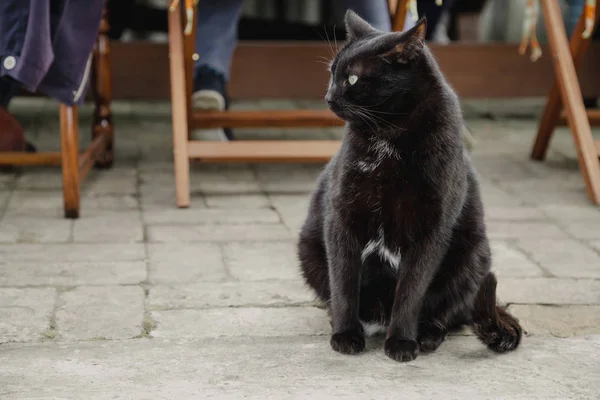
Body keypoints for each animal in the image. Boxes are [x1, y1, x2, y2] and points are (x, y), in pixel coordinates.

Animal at [298, 11, 524, 362]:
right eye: (331, 73)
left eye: (352, 78)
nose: (329, 97)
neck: (387, 137)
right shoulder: (341, 217)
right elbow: (344, 281)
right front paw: (346, 335)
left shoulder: (432, 230)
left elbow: (412, 290)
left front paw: (402, 342)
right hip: (309, 249)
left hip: (474, 257)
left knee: (447, 313)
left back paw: (427, 335)